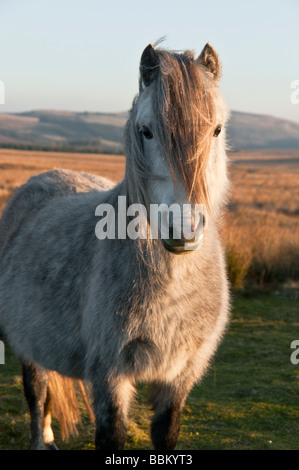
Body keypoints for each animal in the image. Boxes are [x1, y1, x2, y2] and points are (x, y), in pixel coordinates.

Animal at [0, 42, 231, 450]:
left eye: (216, 129)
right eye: (146, 132)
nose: (183, 228)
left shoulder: (179, 378)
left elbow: (166, 435)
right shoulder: (110, 375)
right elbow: (112, 436)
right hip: (25, 343)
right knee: (37, 393)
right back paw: (41, 440)